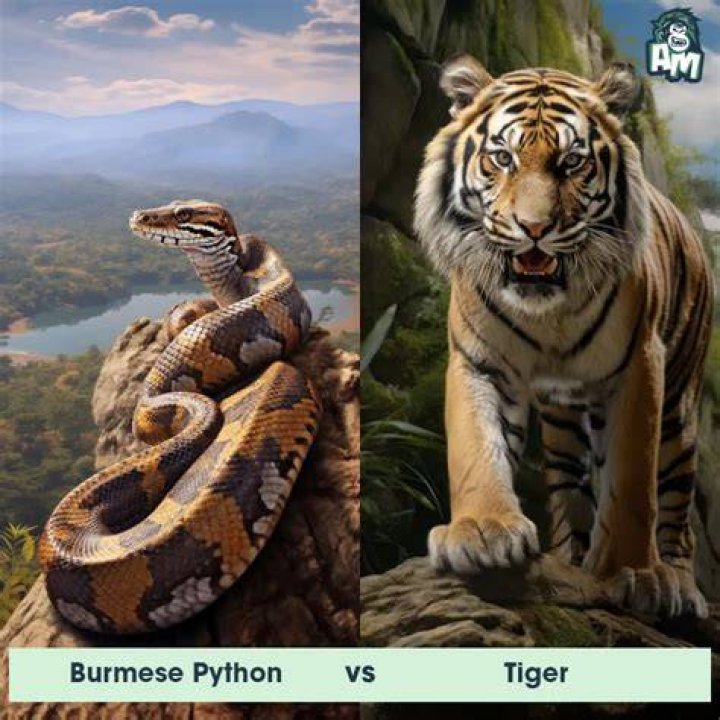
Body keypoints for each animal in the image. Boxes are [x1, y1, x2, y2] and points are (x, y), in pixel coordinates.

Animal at [414, 56, 713, 617]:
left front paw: (633, 571)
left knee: (677, 510)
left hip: (680, 413)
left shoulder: (639, 366)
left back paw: (679, 584)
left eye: (572, 163)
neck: (546, 312)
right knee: (571, 491)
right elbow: (475, 446)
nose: (533, 228)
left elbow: (633, 481)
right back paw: (571, 559)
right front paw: (481, 532)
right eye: (503, 158)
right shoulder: (480, 362)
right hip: (563, 425)